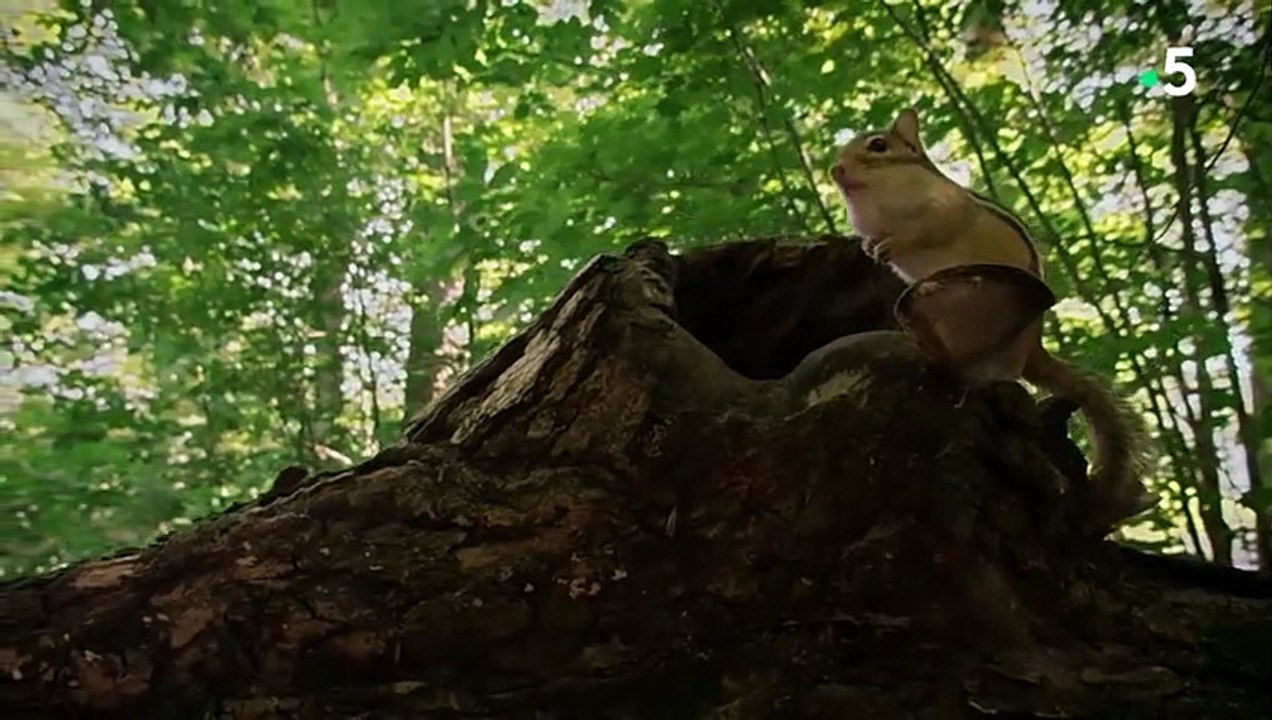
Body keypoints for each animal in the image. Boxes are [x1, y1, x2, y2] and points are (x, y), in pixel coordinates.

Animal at [830, 107, 1155, 530]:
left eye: (878, 146)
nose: (835, 170)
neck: (877, 198)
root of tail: (1034, 348)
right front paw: (871, 247)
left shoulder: (940, 214)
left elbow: (920, 235)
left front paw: (889, 244)